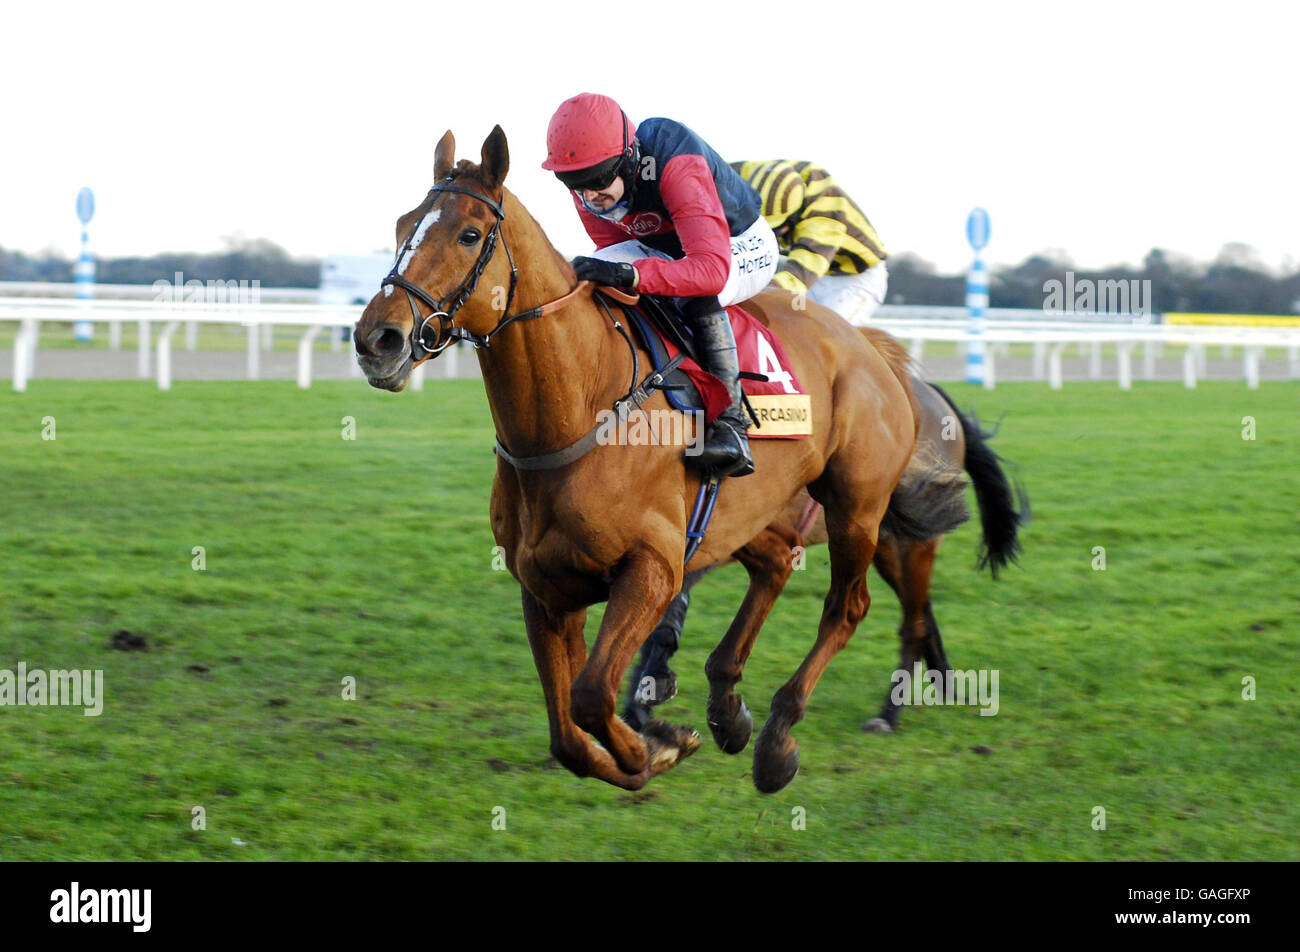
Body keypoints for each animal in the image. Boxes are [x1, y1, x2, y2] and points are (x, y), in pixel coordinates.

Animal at [353, 128, 967, 795]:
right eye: (402, 224)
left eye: (468, 234)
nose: (376, 339)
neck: (578, 410)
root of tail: (874, 350)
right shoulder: (546, 587)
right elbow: (569, 735)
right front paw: (652, 742)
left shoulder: (651, 568)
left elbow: (592, 695)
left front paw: (659, 744)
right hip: (743, 516)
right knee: (777, 561)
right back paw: (728, 706)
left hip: (857, 509)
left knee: (847, 607)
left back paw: (780, 736)